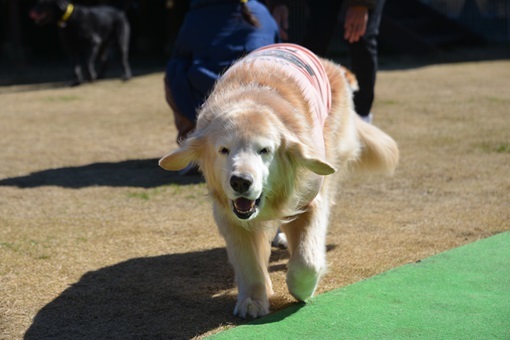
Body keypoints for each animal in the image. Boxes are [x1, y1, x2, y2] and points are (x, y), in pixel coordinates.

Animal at [159, 43, 398, 318]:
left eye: (264, 150)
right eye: (224, 150)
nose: (240, 182)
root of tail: (332, 64)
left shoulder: (310, 199)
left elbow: (307, 259)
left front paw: (301, 288)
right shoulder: (230, 216)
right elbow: (248, 261)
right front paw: (252, 300)